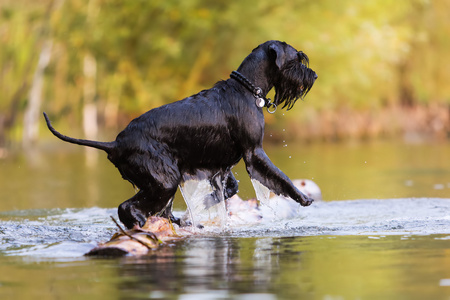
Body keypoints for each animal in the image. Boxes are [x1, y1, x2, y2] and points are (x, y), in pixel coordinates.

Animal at [42, 39, 316, 227]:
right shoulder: (255, 153)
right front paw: (302, 197)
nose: (313, 75)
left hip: (159, 182)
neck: (247, 89)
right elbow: (280, 177)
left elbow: (230, 188)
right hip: (163, 180)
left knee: (155, 208)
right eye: (297, 59)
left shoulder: (219, 165)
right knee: (127, 207)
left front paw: (208, 202)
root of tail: (114, 143)